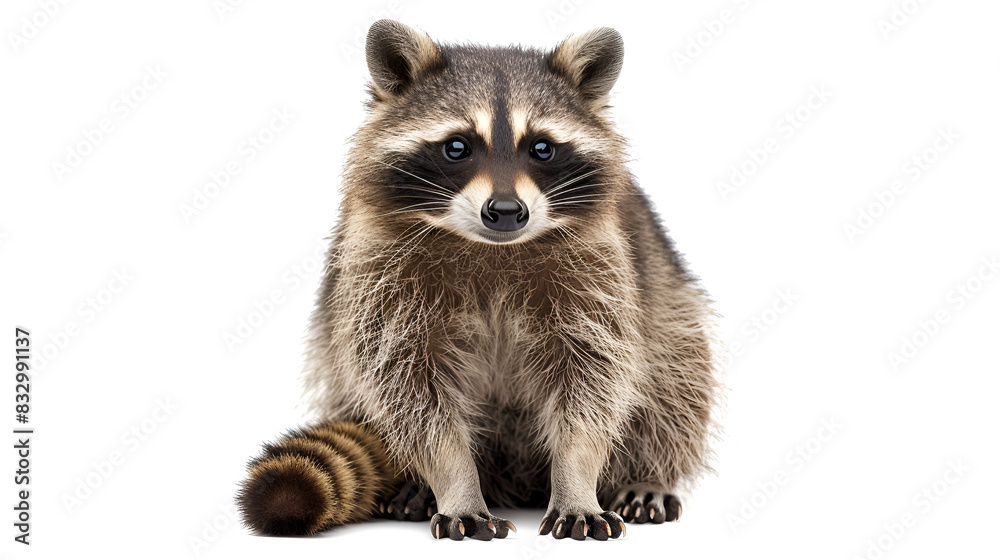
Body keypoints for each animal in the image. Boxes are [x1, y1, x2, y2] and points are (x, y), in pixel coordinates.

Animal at [237, 19, 719, 541]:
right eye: (457, 147)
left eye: (542, 148)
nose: (506, 211)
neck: (493, 248)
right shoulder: (375, 271)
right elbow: (407, 387)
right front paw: (454, 481)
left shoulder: (599, 269)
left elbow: (594, 380)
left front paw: (577, 478)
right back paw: (421, 483)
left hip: (669, 303)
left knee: (677, 380)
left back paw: (646, 473)